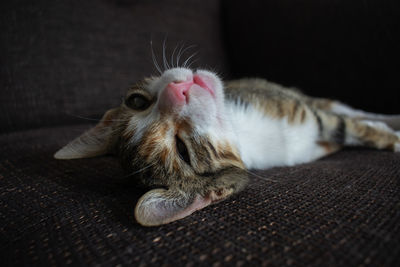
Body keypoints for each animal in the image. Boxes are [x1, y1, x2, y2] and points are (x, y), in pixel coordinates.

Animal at [54, 66, 400, 226]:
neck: (242, 132)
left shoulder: (295, 107)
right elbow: (344, 127)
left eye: (137, 101)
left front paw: (388, 132)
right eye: (182, 150)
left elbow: (348, 123)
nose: (176, 91)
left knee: (348, 109)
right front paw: (394, 139)